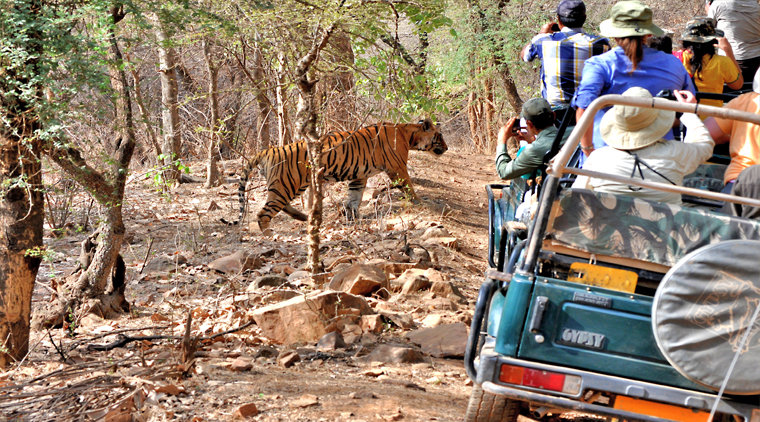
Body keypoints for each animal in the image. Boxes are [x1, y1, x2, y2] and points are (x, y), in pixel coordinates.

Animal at [221, 118, 446, 231]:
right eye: (439, 136)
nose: (447, 147)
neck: (409, 134)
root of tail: (268, 150)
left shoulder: (359, 175)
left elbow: (354, 197)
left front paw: (353, 216)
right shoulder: (397, 167)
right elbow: (409, 186)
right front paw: (421, 202)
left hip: (289, 185)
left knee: (278, 206)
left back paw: (303, 216)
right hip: (287, 184)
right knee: (263, 213)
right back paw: (270, 235)